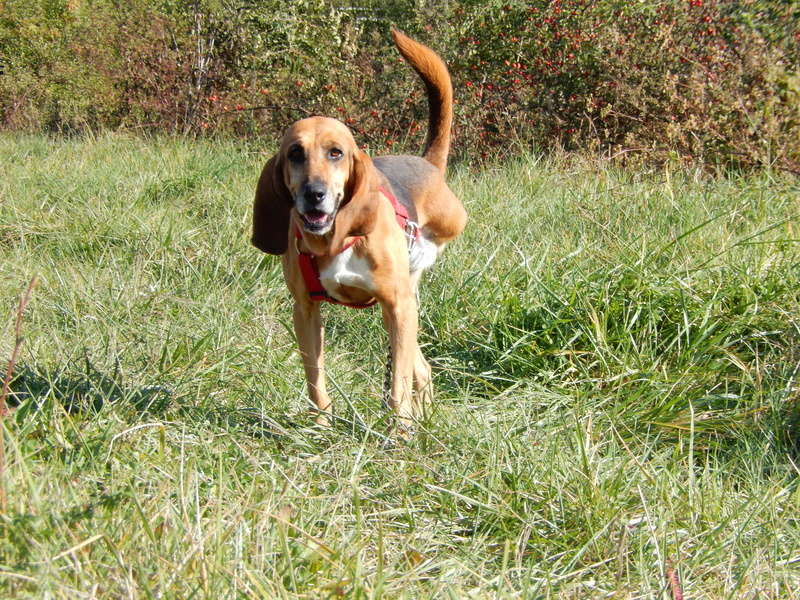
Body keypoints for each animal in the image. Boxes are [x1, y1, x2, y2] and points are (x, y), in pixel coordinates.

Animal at [247, 29, 466, 436]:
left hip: (411, 291)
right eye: (295, 153)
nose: (313, 194)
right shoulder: (305, 311)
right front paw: (321, 425)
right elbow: (315, 378)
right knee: (422, 368)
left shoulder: (396, 305)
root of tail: (426, 164)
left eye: (336, 153)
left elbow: (396, 386)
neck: (335, 240)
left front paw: (398, 432)